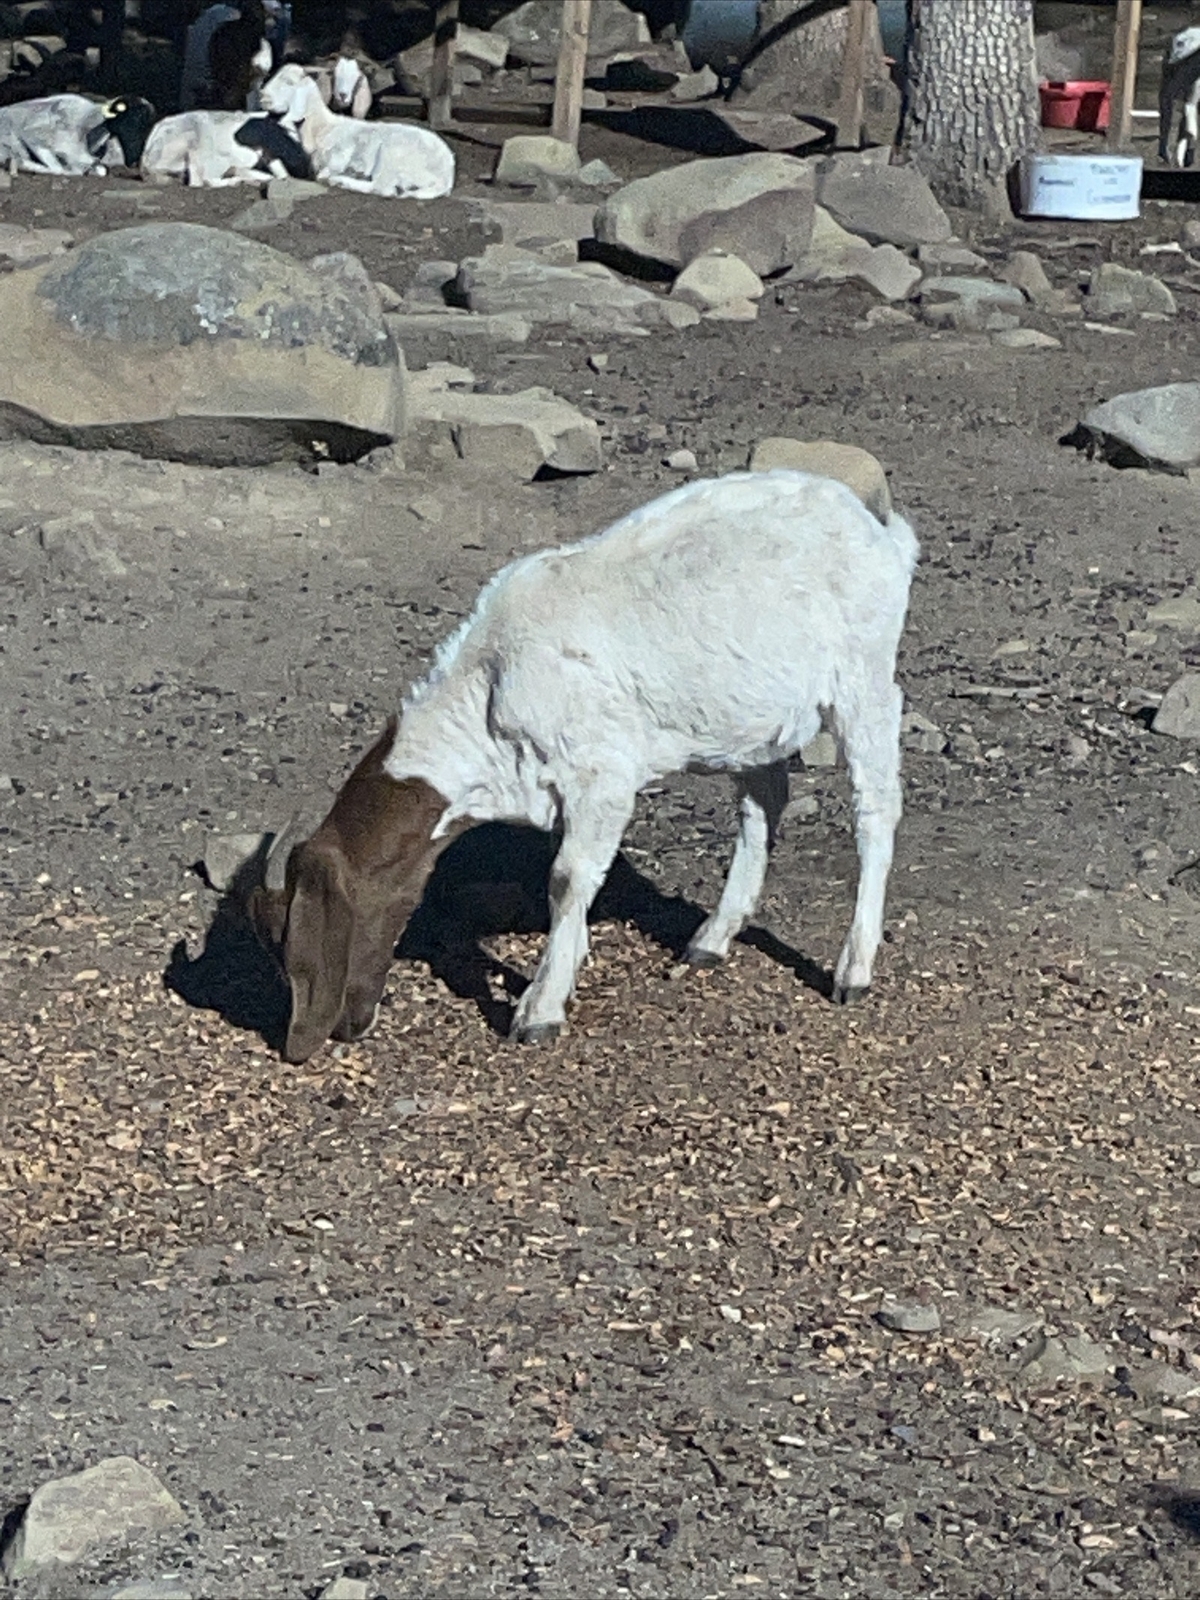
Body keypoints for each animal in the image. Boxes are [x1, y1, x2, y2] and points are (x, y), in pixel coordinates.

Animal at [249, 470, 918, 1064]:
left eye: (291, 946)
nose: (339, 1028)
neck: (491, 683)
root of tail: (880, 531)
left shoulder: (602, 775)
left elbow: (567, 878)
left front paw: (540, 1010)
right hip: (750, 717)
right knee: (763, 804)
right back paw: (712, 939)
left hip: (863, 682)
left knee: (875, 808)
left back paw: (853, 970)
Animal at [259, 62, 454, 198]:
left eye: (289, 82)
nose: (262, 97)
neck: (322, 126)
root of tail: (446, 176)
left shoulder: (339, 157)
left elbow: (321, 175)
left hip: (391, 155)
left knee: (383, 188)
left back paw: (342, 181)